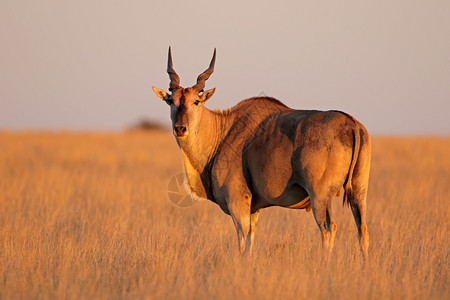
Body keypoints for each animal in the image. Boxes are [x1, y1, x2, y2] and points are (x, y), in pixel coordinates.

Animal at [153, 48, 370, 256]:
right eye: (171, 101)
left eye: (196, 102)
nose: (180, 128)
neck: (223, 131)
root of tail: (351, 124)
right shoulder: (253, 210)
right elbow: (250, 241)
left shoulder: (238, 203)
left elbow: (242, 242)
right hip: (358, 193)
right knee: (363, 231)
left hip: (320, 196)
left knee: (328, 229)